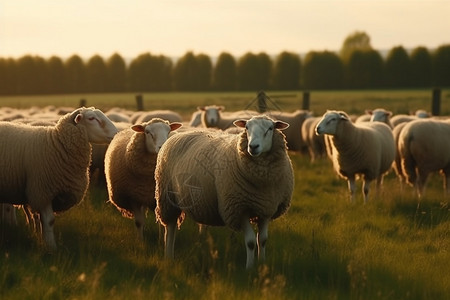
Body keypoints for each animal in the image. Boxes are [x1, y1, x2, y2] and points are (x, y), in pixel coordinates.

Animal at [0, 106, 118, 250]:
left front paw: (40, 237)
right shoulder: (42, 191)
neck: (56, 145)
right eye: (91, 118)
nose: (116, 133)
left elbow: (39, 218)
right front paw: (51, 246)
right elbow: (49, 220)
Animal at [156, 115, 296, 270]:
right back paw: (169, 257)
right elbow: (251, 242)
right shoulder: (239, 208)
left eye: (270, 128)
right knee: (170, 228)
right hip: (167, 198)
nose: (253, 147)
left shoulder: (266, 208)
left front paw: (262, 263)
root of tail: (178, 134)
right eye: (246, 127)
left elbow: (263, 240)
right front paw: (249, 267)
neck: (263, 182)